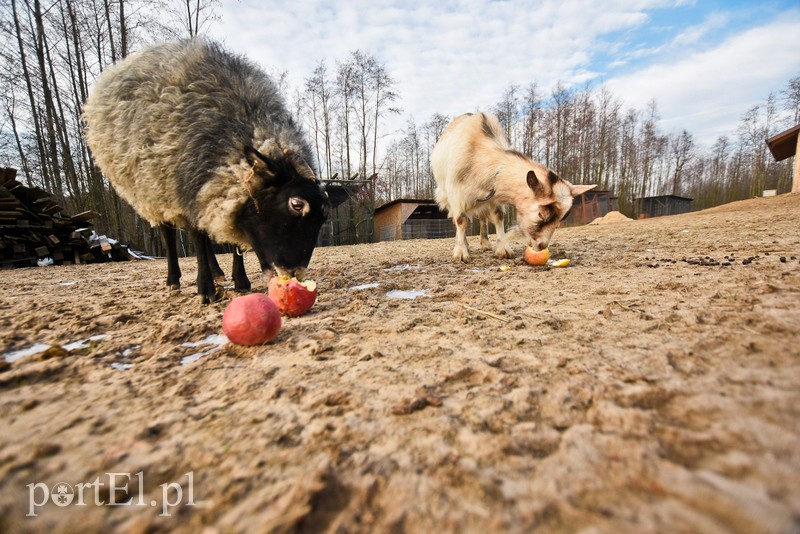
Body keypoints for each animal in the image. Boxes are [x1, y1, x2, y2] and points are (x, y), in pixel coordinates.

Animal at [83, 39, 348, 304]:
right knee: (169, 234)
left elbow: (231, 242)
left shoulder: (220, 193)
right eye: (296, 204)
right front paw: (205, 289)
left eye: (325, 216)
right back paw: (174, 280)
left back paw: (218, 272)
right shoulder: (186, 188)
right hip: (154, 187)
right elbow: (197, 237)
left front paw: (240, 280)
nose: (294, 273)